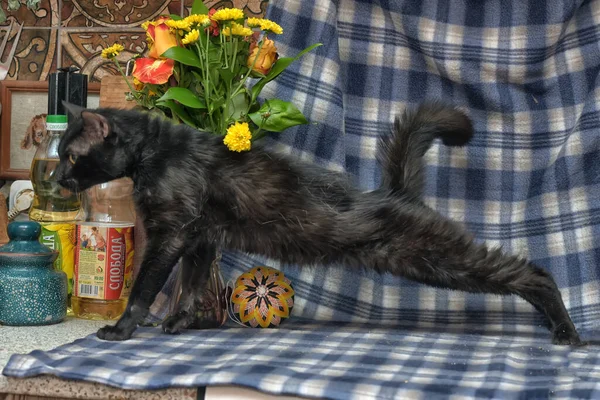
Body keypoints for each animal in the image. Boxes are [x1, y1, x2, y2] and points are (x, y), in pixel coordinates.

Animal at [56, 101, 580, 346]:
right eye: (60, 154)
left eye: (73, 156)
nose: (59, 178)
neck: (155, 151)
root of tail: (396, 193)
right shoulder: (201, 237)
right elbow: (192, 284)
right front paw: (182, 323)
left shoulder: (171, 233)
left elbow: (145, 287)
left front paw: (123, 330)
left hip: (434, 256)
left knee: (529, 272)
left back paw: (566, 333)